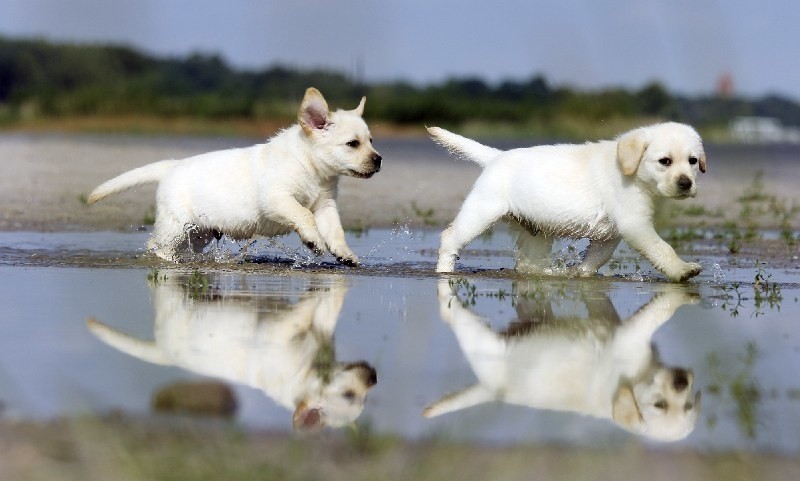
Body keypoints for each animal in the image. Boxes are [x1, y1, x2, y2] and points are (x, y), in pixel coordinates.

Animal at [89, 88, 382, 264]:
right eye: (353, 144)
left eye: (371, 141)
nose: (379, 160)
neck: (313, 170)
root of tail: (173, 165)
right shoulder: (277, 198)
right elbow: (303, 215)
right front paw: (313, 241)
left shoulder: (325, 206)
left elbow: (336, 230)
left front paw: (344, 254)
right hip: (175, 226)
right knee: (157, 247)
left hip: (198, 233)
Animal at [432, 122, 708, 282]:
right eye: (665, 161)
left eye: (693, 161)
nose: (686, 183)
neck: (634, 173)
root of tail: (496, 156)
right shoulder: (635, 224)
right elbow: (662, 248)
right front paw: (682, 270)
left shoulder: (610, 235)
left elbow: (595, 260)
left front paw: (577, 274)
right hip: (480, 212)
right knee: (449, 238)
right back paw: (444, 271)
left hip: (537, 232)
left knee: (527, 262)